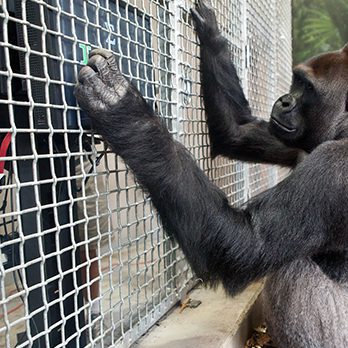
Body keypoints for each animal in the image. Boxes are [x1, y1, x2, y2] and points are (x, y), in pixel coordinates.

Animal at [75, 0, 348, 346]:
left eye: (308, 88)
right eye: (297, 81)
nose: (285, 101)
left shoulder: (335, 167)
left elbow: (242, 246)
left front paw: (122, 109)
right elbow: (236, 131)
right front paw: (212, 35)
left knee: (295, 268)